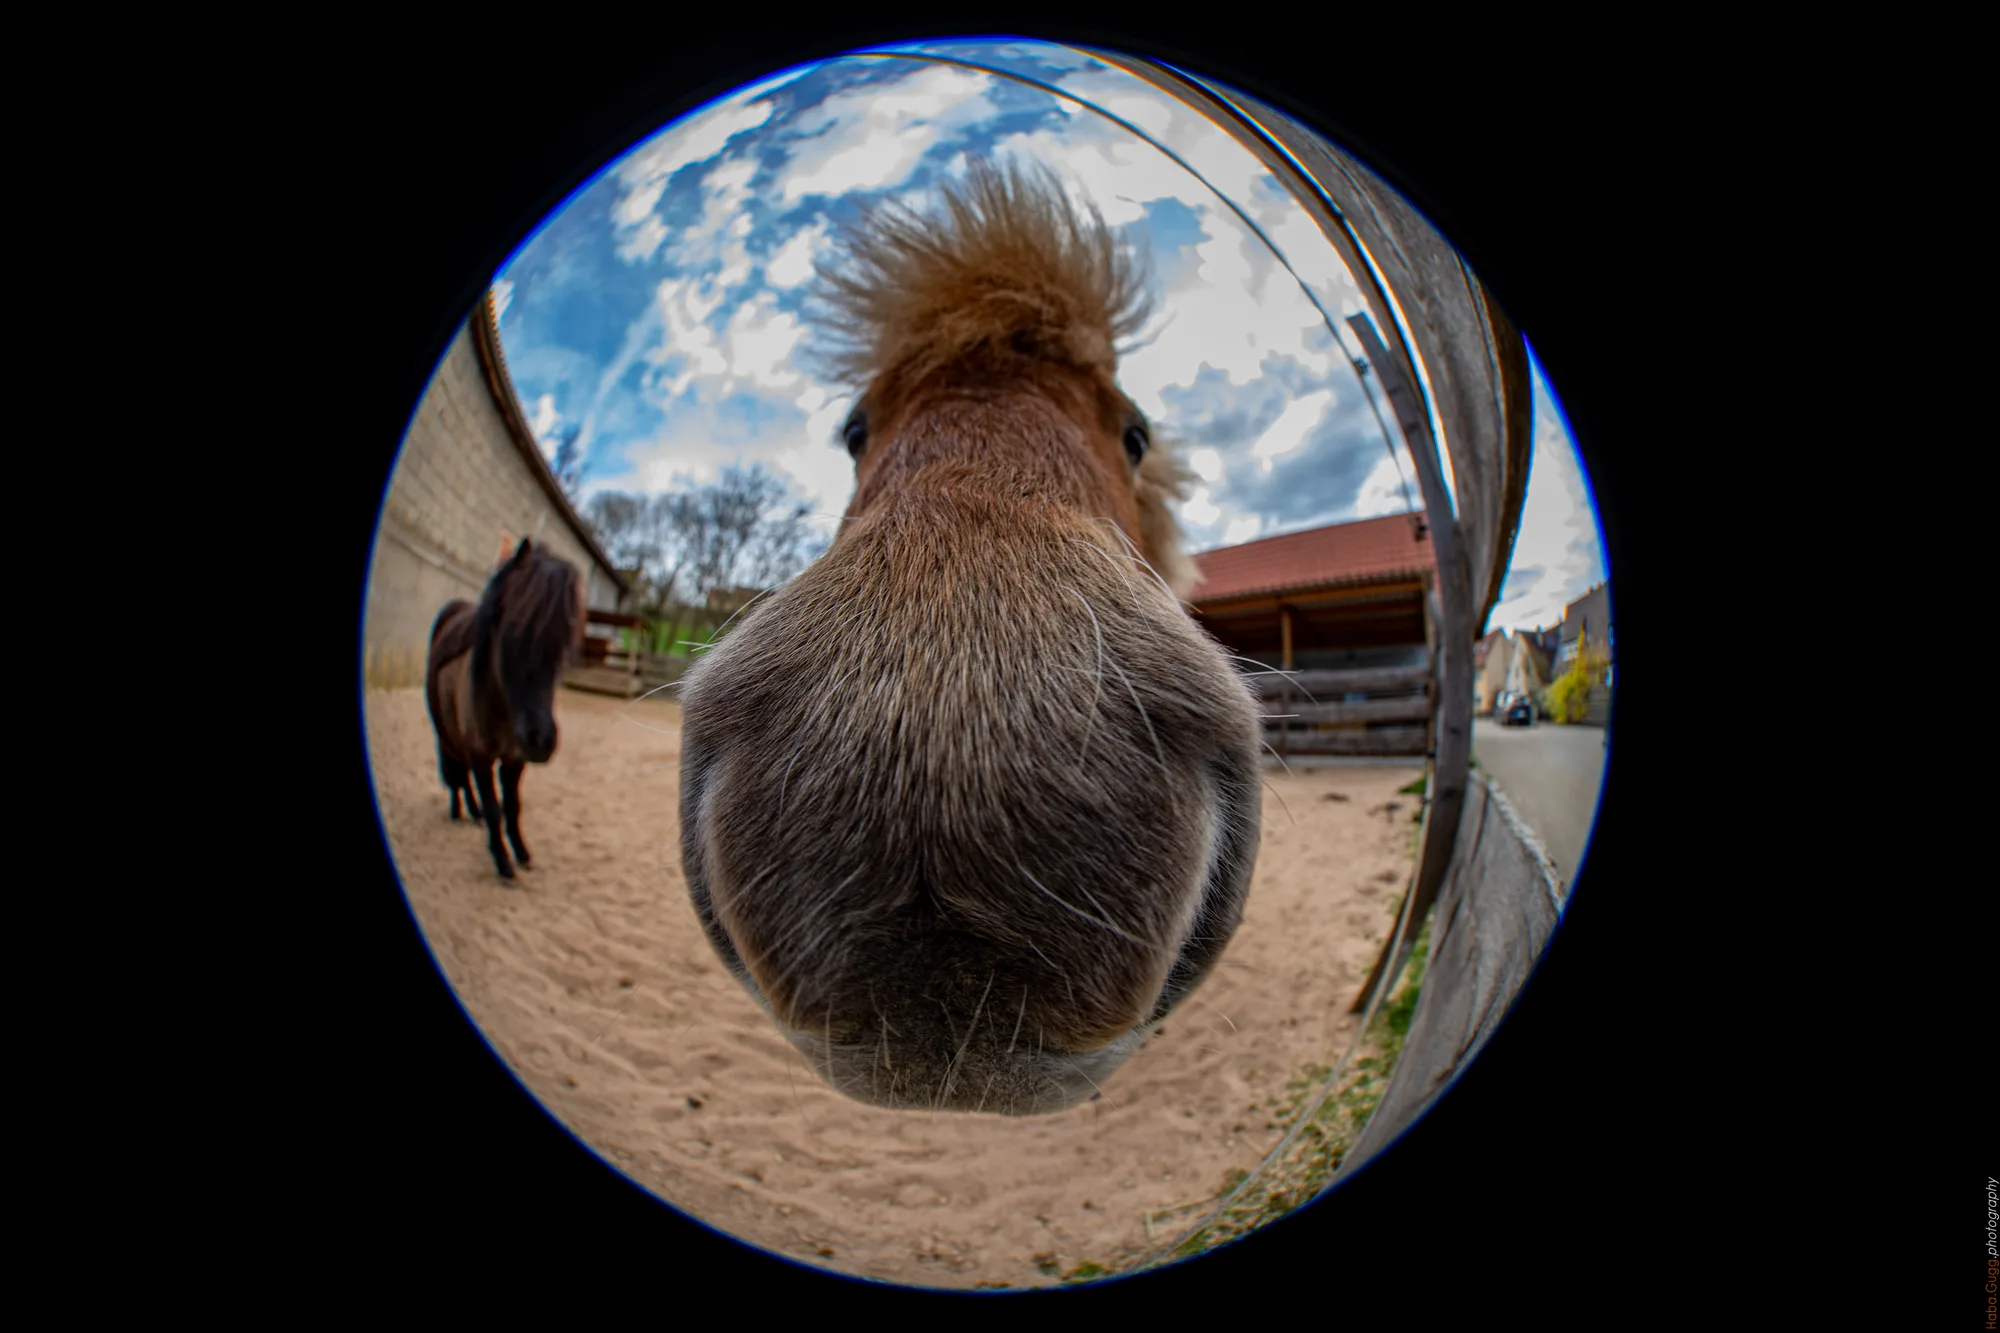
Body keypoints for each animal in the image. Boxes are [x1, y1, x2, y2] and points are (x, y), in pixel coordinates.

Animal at [425, 537, 583, 881]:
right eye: (512, 632)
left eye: (563, 644)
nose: (541, 740)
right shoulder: (481, 756)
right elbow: (495, 807)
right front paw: (501, 859)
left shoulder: (515, 759)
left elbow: (512, 806)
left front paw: (521, 851)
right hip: (448, 735)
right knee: (457, 772)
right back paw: (460, 810)